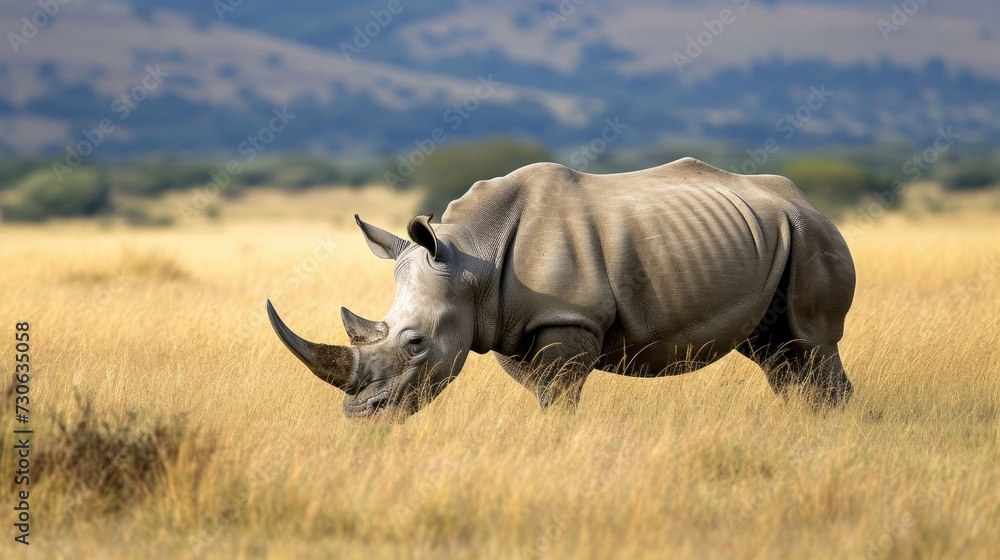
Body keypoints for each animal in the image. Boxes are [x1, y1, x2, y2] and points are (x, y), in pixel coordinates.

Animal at [267, 157, 856, 418]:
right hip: (775, 236)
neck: (472, 261)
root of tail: (807, 201)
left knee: (812, 343)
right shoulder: (508, 324)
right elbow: (543, 390)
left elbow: (559, 394)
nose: (360, 415)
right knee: (776, 353)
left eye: (414, 344)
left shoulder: (568, 318)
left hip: (813, 235)